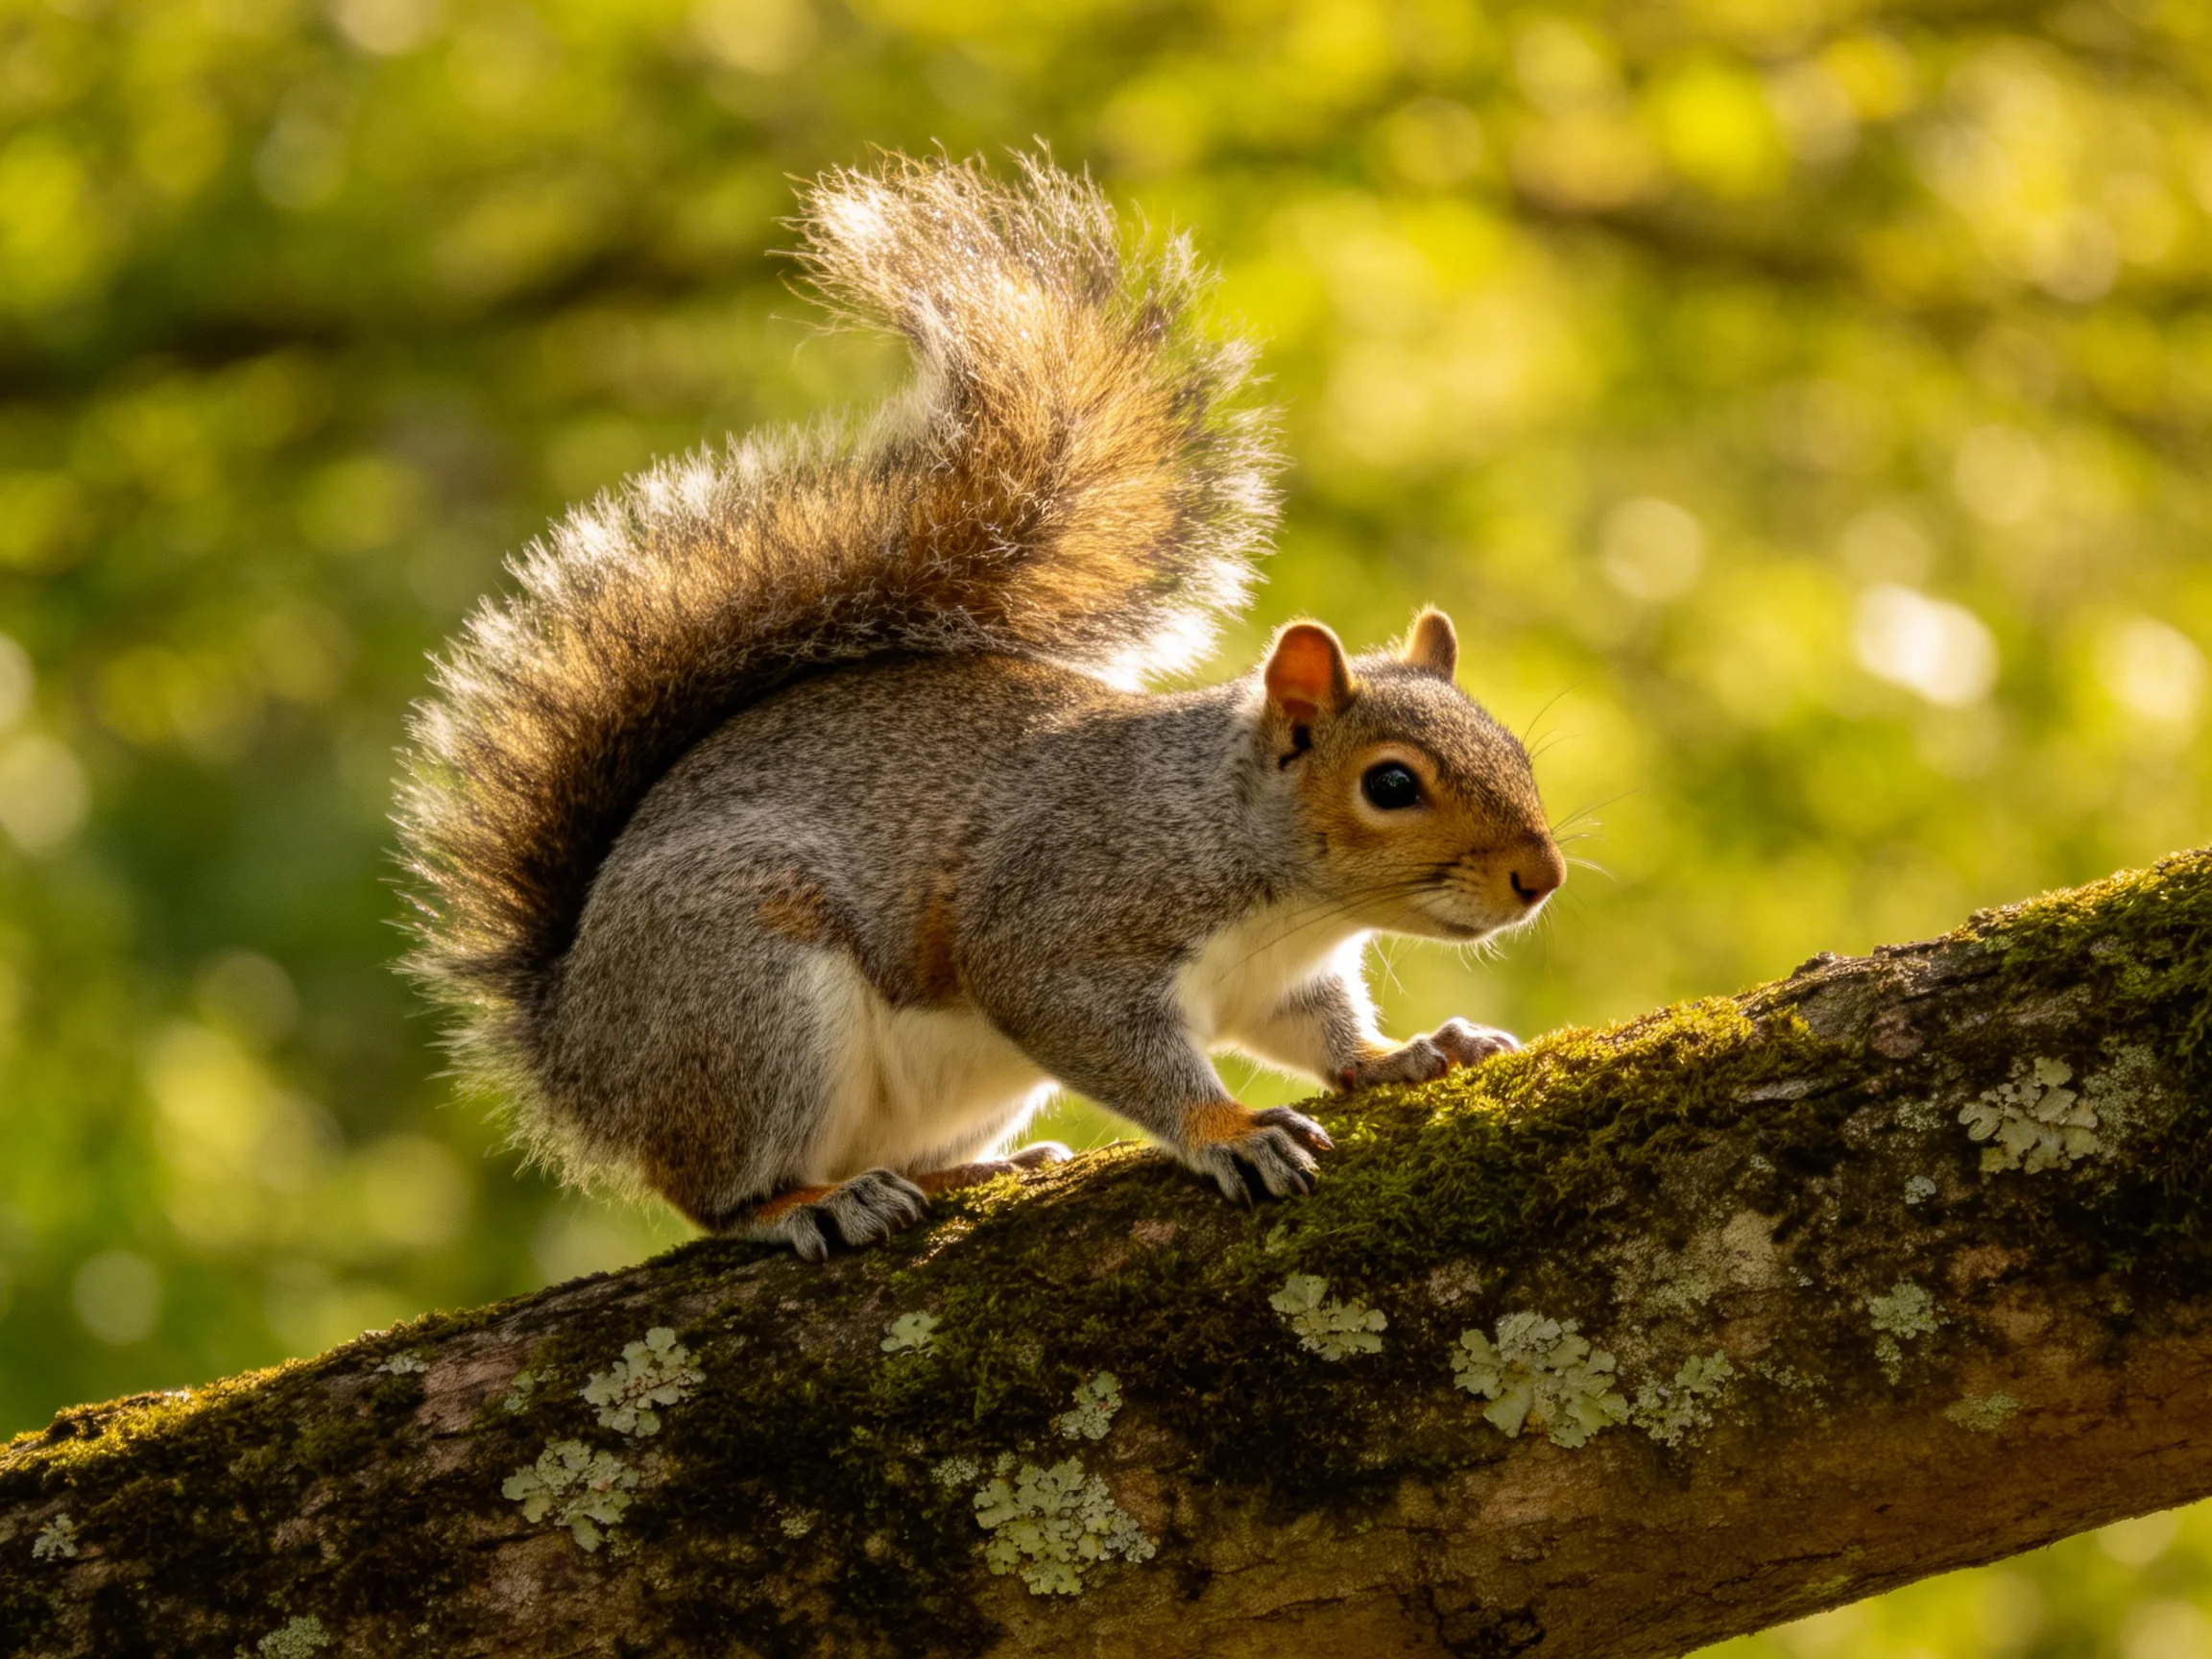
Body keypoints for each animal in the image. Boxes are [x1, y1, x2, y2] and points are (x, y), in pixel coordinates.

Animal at [396, 153, 1565, 1262]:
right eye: (1392, 784)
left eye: (1518, 753)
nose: (1541, 878)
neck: (1272, 884)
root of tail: (576, 1050)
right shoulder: (1059, 924)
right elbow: (1101, 1030)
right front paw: (1229, 1131)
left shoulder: (1284, 982)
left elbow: (1323, 1034)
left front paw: (1408, 1053)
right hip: (747, 999)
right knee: (720, 1193)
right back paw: (814, 1204)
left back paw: (974, 1173)